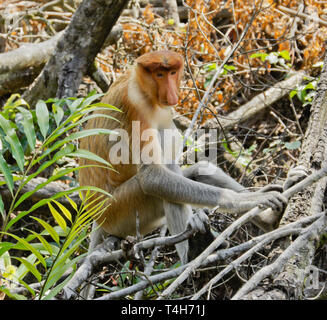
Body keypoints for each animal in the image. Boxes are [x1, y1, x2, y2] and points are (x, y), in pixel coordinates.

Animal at [79, 50, 288, 264]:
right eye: (159, 75)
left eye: (172, 73)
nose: (171, 94)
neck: (139, 84)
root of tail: (97, 218)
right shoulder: (136, 104)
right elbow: (151, 177)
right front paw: (247, 199)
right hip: (121, 212)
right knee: (159, 188)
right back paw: (195, 252)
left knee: (198, 171)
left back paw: (269, 221)